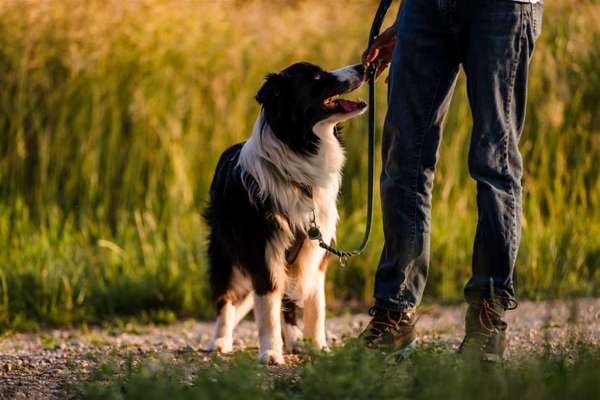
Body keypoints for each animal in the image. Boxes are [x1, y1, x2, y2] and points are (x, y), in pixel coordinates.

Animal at [205, 61, 366, 364]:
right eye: (316, 77)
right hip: (224, 251)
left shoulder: (316, 248)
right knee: (226, 298)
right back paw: (220, 340)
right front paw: (270, 353)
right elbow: (267, 306)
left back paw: (294, 340)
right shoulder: (263, 249)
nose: (362, 66)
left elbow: (315, 305)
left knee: (288, 301)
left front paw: (317, 346)